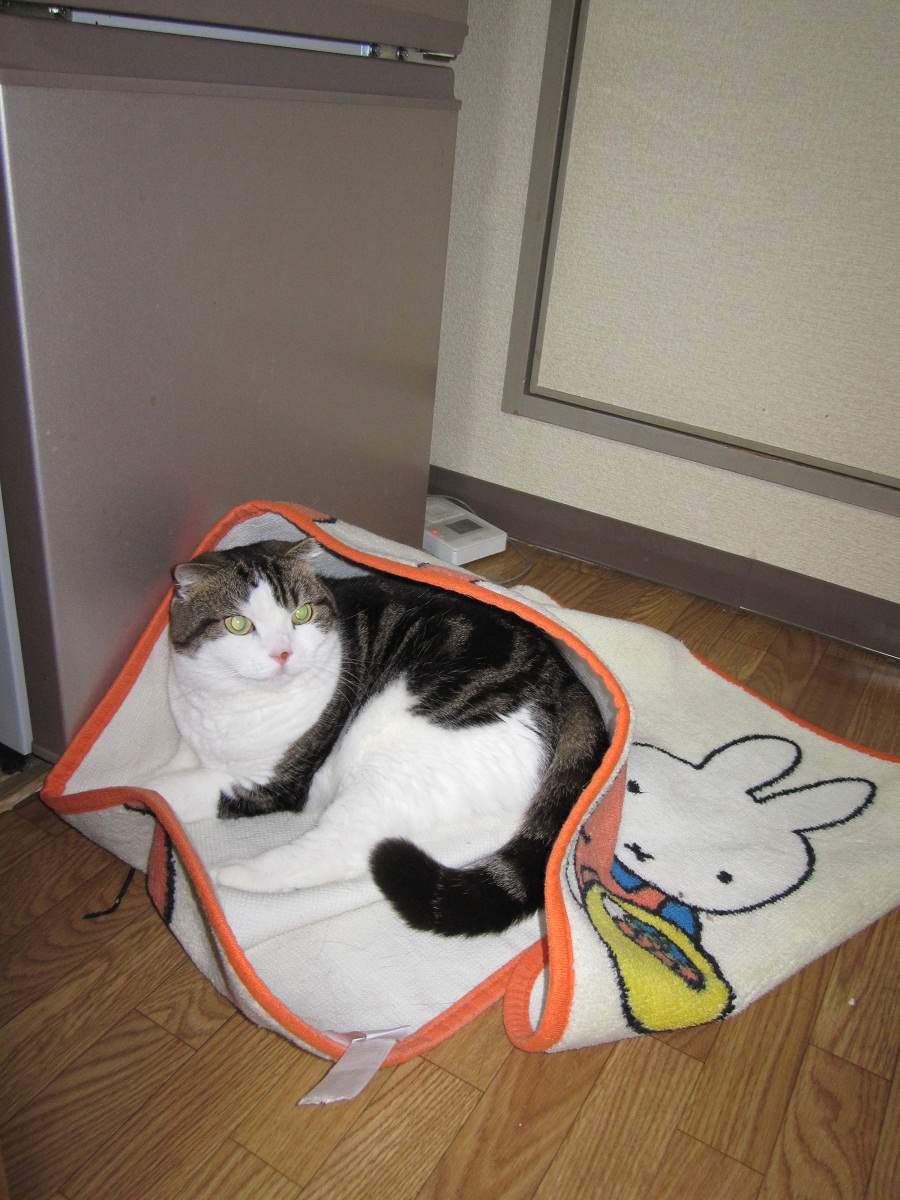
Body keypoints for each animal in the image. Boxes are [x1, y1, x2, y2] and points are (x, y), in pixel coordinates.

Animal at [153, 537, 609, 937]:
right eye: (238, 624)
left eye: (301, 614)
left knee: (346, 847)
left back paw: (231, 875)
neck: (227, 705)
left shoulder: (270, 783)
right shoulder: (189, 739)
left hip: (394, 753)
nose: (283, 653)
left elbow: (172, 790)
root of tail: (568, 681)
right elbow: (172, 768)